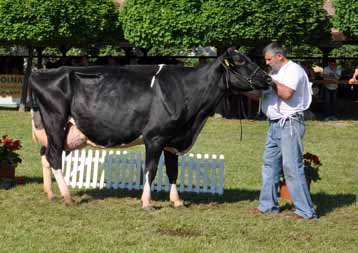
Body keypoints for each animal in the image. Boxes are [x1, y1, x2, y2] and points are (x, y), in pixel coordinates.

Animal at [30, 47, 272, 210]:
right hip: (55, 121)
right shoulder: (155, 137)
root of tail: (42, 73)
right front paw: (147, 202)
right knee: (54, 157)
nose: (268, 78)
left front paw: (177, 201)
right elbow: (151, 169)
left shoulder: (173, 139)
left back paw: (51, 194)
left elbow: (173, 171)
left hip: (56, 129)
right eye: (240, 60)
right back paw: (67, 196)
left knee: (45, 155)